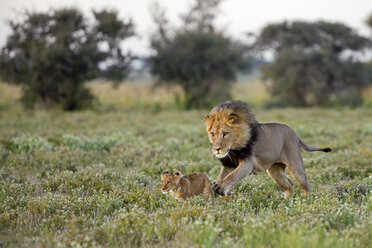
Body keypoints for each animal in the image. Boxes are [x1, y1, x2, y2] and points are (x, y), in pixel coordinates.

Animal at [203, 100, 332, 199]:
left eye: (225, 133)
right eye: (212, 134)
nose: (217, 149)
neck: (232, 149)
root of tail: (295, 133)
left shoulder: (247, 163)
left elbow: (232, 176)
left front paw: (221, 189)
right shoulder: (229, 164)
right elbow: (222, 177)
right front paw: (222, 190)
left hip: (296, 168)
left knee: (305, 186)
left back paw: (306, 200)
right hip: (275, 172)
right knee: (290, 185)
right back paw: (286, 201)